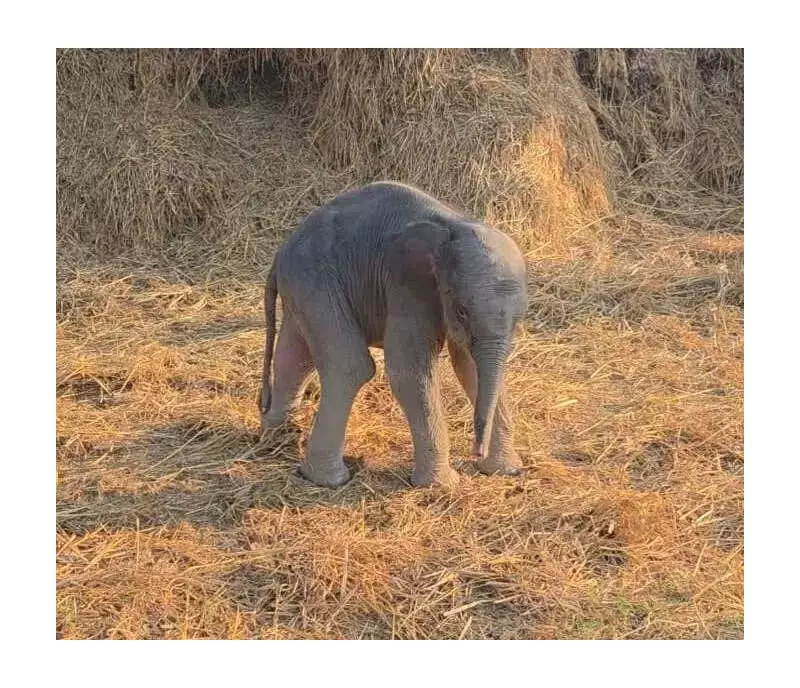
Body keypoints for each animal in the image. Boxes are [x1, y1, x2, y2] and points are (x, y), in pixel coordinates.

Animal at [258, 181, 528, 488]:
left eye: (518, 320)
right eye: (462, 311)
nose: (475, 453)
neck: (454, 225)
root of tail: (282, 250)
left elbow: (468, 365)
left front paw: (506, 470)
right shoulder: (406, 284)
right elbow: (409, 372)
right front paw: (441, 485)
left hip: (301, 284)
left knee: (295, 356)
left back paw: (277, 435)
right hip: (314, 276)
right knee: (348, 366)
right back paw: (327, 478)